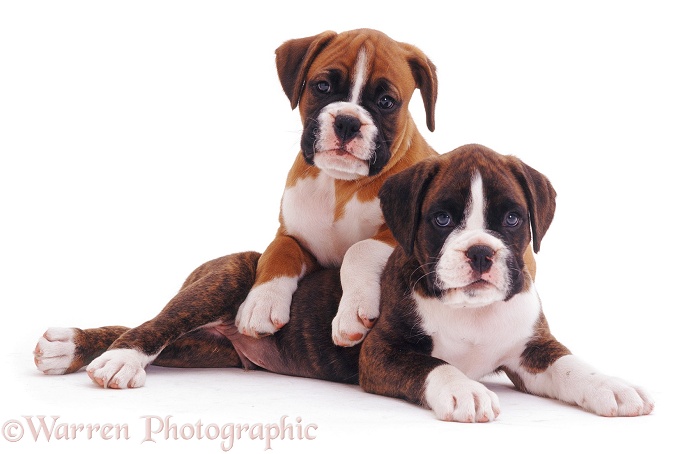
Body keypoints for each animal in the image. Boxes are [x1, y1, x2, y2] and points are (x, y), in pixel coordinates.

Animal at [236, 28, 438, 348]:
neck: (338, 184)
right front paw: (261, 303)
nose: (347, 121)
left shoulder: (401, 237)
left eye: (386, 101)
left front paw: (351, 313)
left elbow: (359, 249)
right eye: (322, 86)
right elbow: (279, 251)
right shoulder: (294, 236)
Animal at [360, 145, 656, 422]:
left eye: (512, 218)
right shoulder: (380, 350)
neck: (472, 311)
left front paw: (610, 385)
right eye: (442, 218)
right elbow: (432, 364)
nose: (480, 252)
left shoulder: (534, 349)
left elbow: (570, 364)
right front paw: (464, 389)